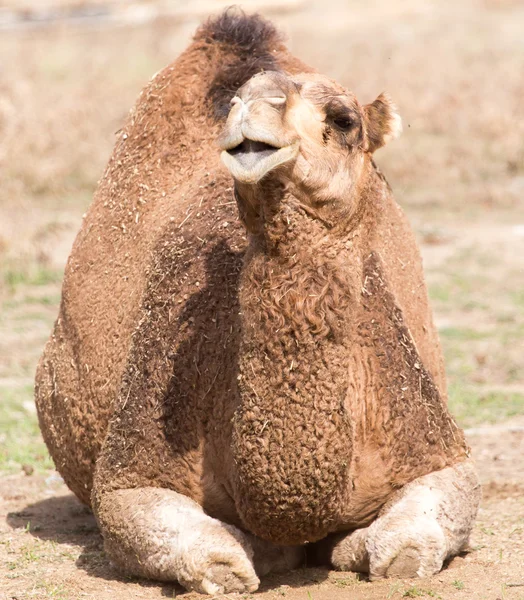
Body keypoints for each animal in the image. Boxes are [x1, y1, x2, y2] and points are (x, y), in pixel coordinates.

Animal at [35, 10, 478, 596]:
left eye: (344, 119)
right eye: (235, 102)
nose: (253, 106)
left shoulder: (430, 439)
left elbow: (408, 546)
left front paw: (352, 545)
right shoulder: (132, 466)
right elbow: (209, 553)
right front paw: (258, 553)